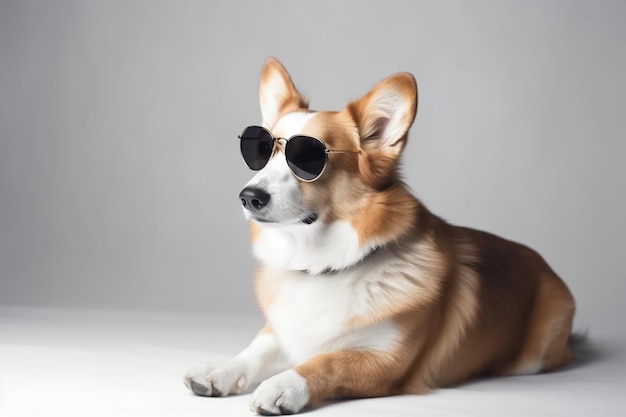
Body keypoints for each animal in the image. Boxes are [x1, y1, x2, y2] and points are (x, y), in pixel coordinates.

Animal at [182, 57, 576, 412]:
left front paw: (284, 384)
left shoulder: (385, 363)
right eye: (262, 152)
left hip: (534, 354)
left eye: (308, 158)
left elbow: (327, 361)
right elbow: (254, 351)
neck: (323, 263)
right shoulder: (281, 330)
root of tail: (543, 264)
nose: (249, 197)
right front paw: (219, 370)